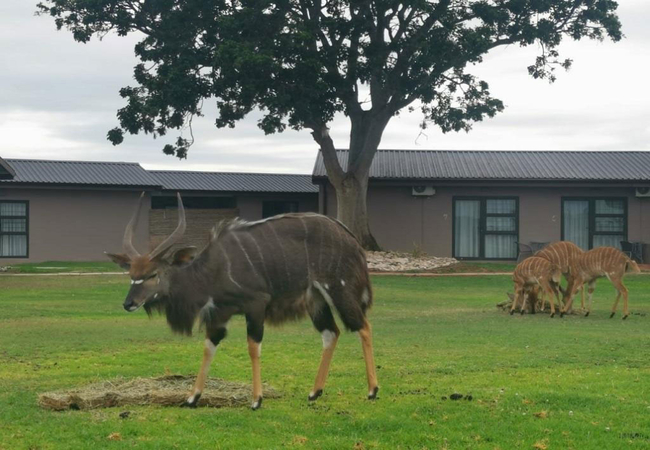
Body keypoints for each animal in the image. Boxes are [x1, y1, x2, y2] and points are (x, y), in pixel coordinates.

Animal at [105, 192, 378, 410]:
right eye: (131, 275)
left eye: (153, 274)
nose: (129, 303)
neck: (212, 271)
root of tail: (352, 240)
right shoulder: (219, 314)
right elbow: (209, 347)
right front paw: (192, 397)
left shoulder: (256, 305)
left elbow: (253, 347)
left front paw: (256, 400)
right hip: (316, 300)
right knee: (331, 333)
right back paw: (314, 392)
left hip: (339, 290)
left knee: (363, 326)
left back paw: (372, 390)